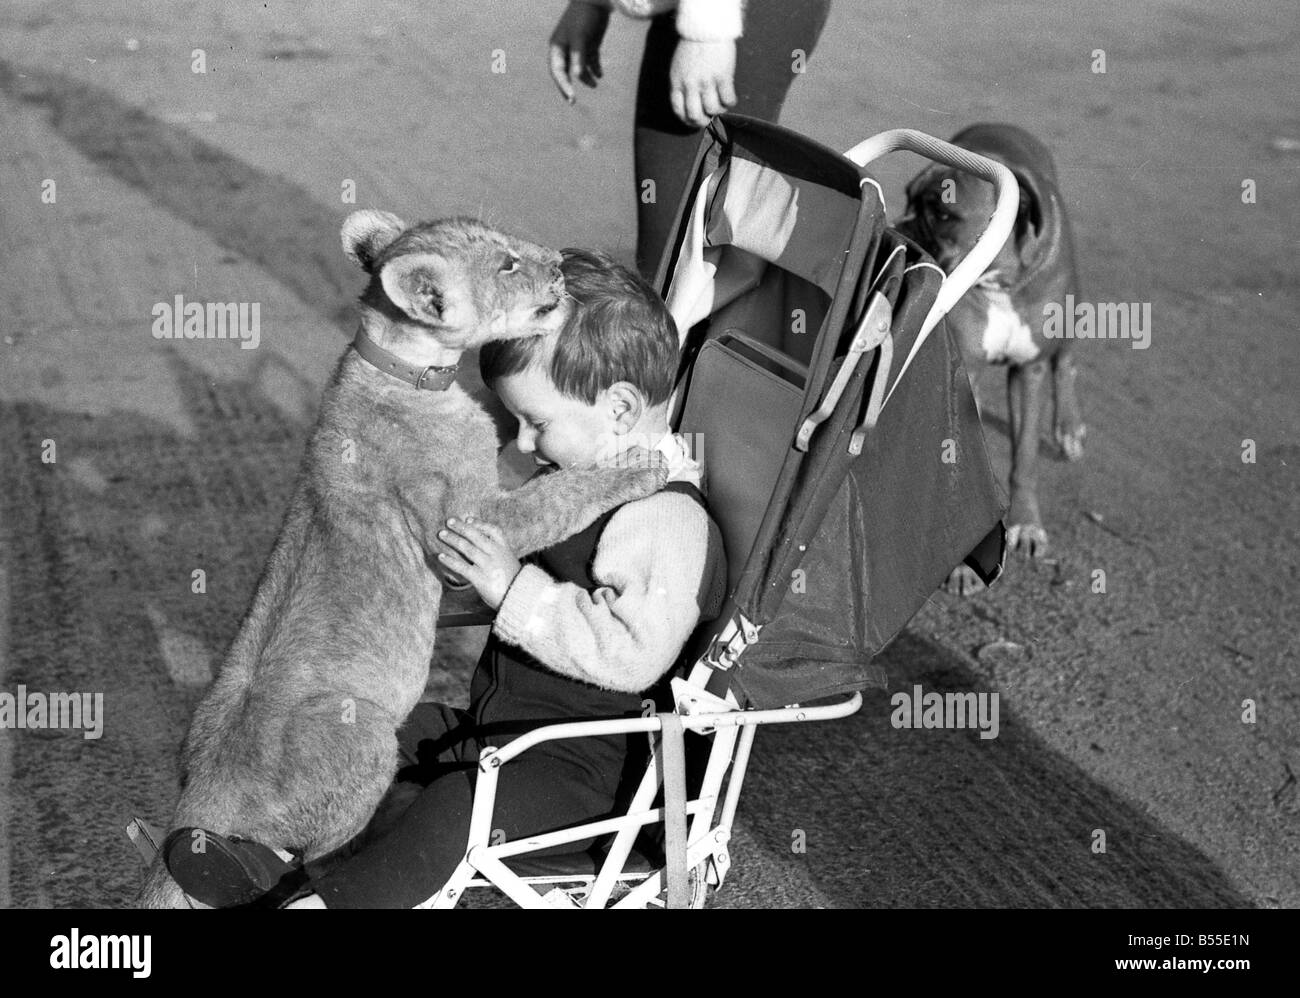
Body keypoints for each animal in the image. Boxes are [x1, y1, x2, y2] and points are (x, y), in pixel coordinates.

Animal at [894, 123, 1086, 592]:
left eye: (943, 214)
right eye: (909, 200)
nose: (900, 224)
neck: (1001, 283)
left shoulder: (1028, 372)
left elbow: (1025, 456)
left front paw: (1026, 524)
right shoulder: (968, 377)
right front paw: (962, 562)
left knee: (1066, 365)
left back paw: (1069, 427)